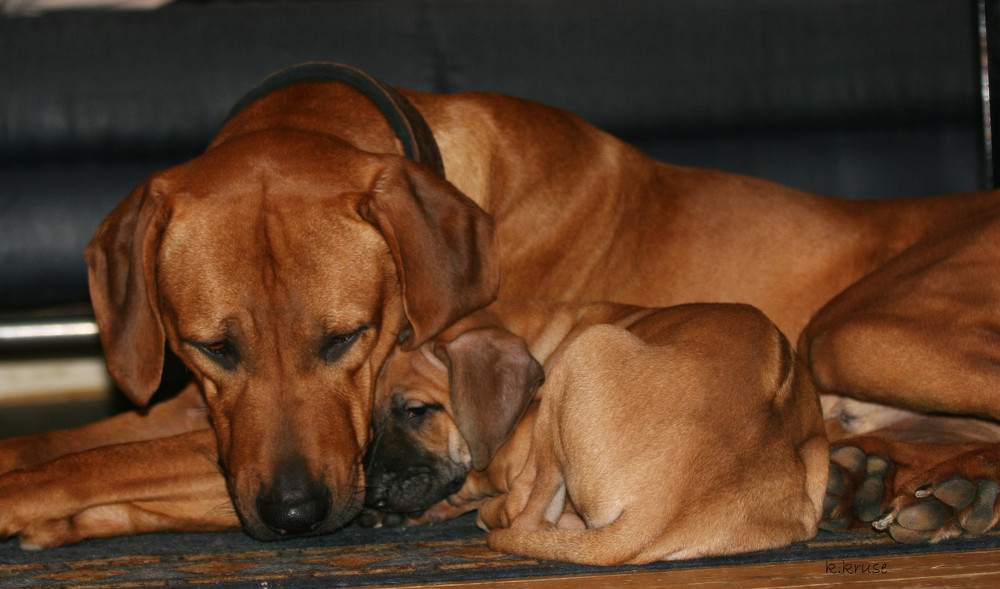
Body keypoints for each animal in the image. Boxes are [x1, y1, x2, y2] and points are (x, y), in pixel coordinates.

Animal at [362, 300, 828, 564]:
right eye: (372, 422)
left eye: (416, 411)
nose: (374, 496)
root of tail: (658, 510)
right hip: (816, 462)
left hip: (585, 350)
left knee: (525, 516)